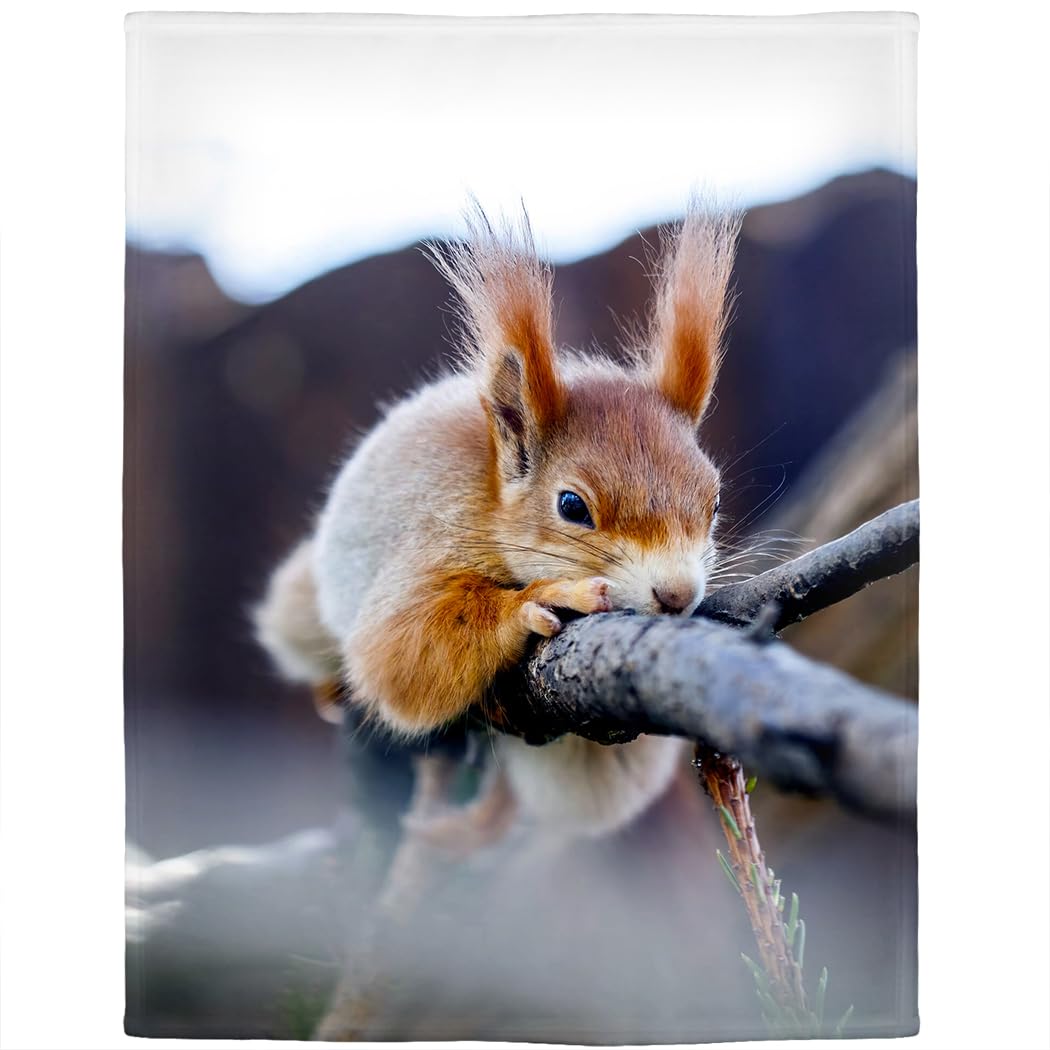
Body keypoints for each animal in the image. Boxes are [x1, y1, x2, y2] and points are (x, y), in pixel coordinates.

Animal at [254, 201, 739, 841]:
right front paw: (540, 599)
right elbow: (396, 653)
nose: (678, 594)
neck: (490, 503)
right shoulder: (432, 534)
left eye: (714, 501)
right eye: (572, 506)